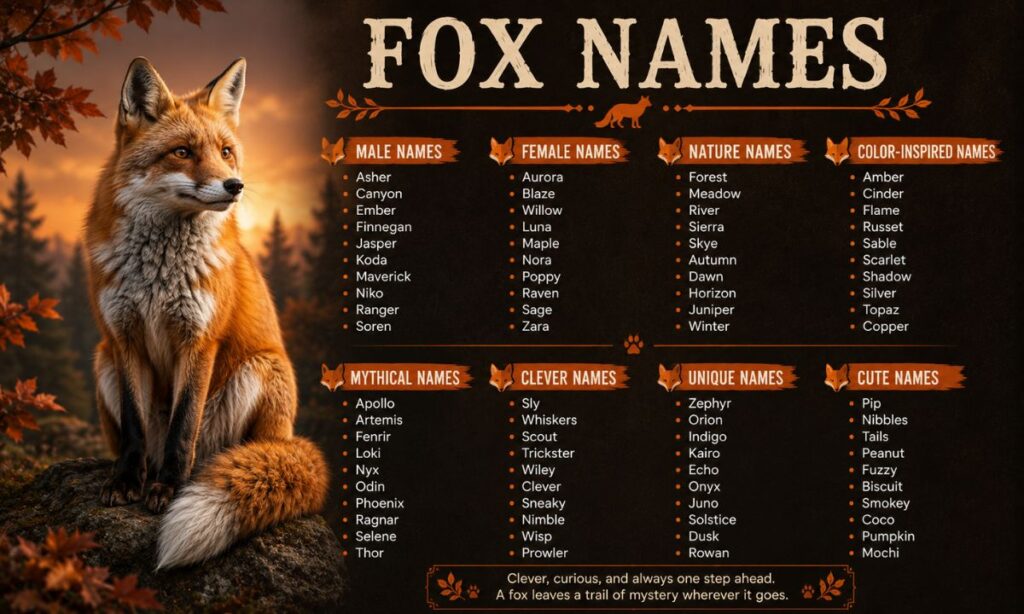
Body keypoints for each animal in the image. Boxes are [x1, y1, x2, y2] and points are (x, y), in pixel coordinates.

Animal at [84, 57, 328, 570]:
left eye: (226, 152)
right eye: (182, 152)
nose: (235, 186)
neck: (158, 274)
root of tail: (288, 438)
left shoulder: (198, 338)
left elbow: (183, 426)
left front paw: (168, 489)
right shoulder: (124, 337)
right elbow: (135, 427)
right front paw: (127, 483)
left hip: (258, 371)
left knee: (214, 455)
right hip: (103, 359)